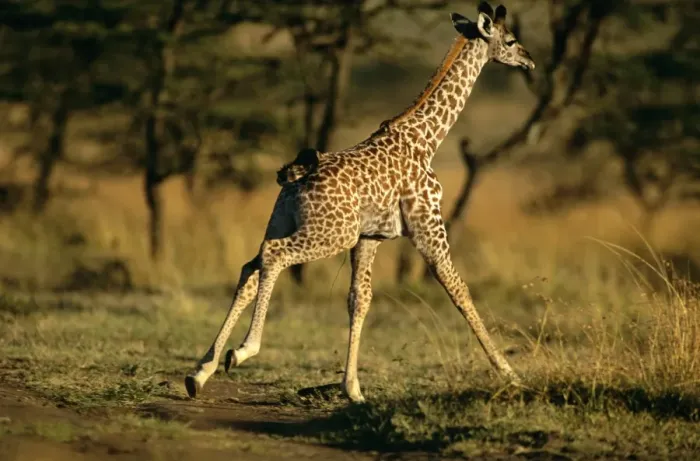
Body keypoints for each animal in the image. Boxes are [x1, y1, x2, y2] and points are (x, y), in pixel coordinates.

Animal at [185, 1, 535, 403]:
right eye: (510, 40)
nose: (529, 61)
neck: (426, 140)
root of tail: (296, 178)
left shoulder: (370, 238)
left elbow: (359, 298)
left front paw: (352, 388)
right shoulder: (429, 228)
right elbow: (459, 290)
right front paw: (511, 375)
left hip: (286, 221)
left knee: (250, 268)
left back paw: (200, 372)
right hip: (331, 233)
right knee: (274, 256)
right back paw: (243, 350)